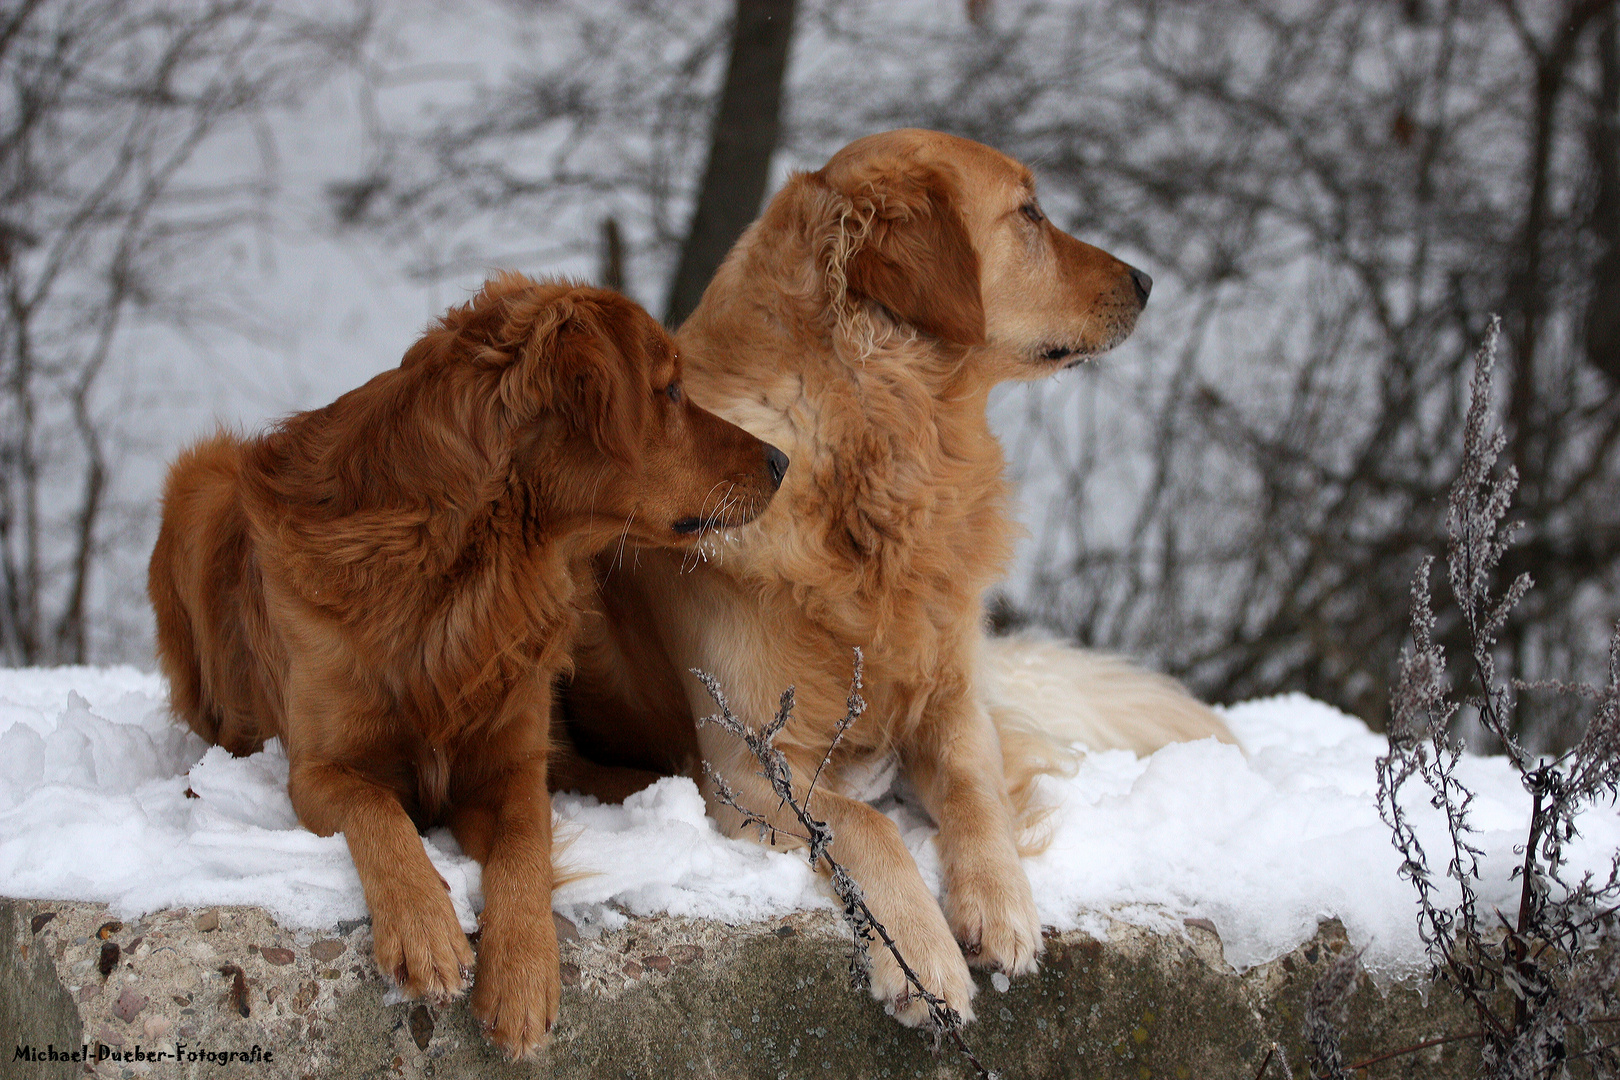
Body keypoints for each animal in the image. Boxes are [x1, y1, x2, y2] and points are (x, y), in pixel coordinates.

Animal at [557, 131, 1224, 1029]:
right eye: (1029, 213)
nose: (1148, 281)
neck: (884, 444)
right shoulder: (744, 767)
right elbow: (862, 826)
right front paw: (921, 957)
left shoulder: (952, 704)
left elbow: (978, 794)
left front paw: (1000, 906)